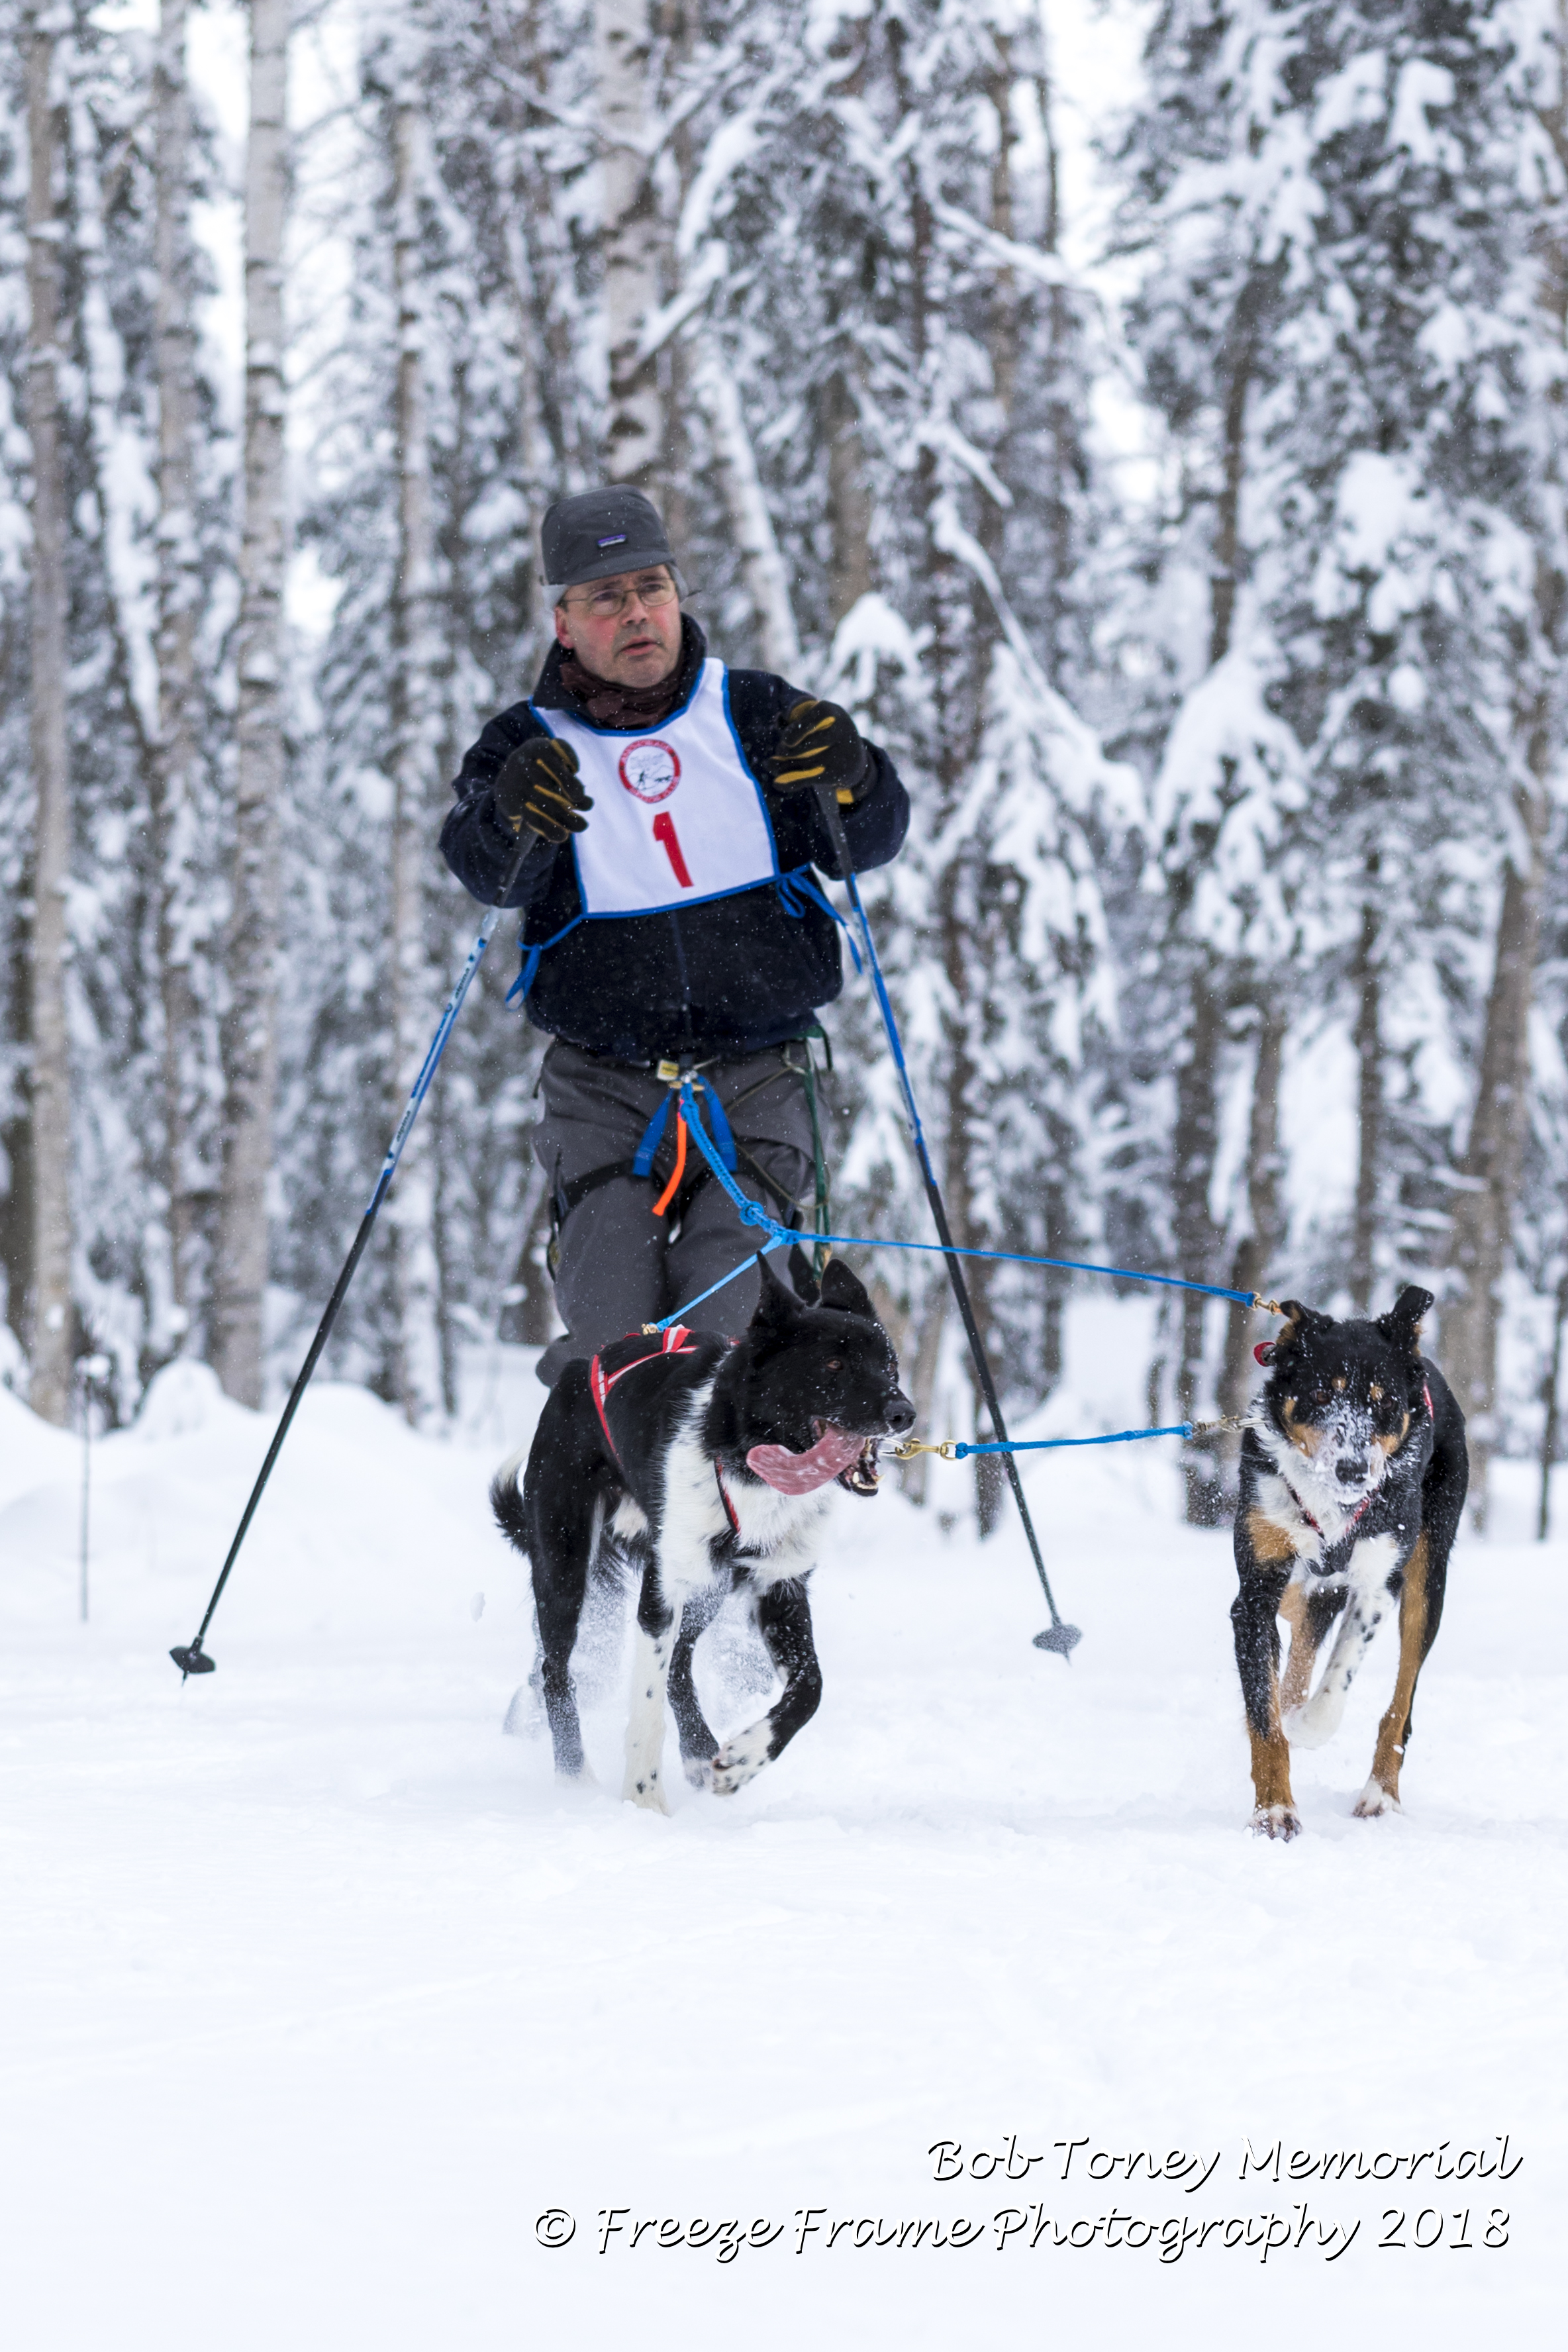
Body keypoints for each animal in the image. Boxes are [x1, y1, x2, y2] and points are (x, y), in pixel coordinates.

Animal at [484, 1260, 912, 1806]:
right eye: (834, 1366)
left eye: (889, 1366)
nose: (904, 1413)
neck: (750, 1463)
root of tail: (575, 1373)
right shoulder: (662, 1594)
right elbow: (646, 1707)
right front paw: (643, 1799)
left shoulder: (781, 1587)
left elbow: (810, 1688)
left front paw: (745, 1759)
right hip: (566, 1565)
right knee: (556, 1671)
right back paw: (574, 1777)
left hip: (707, 1589)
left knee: (680, 1666)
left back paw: (698, 1751)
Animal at [1241, 1289, 1476, 1834]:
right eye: (1320, 1395)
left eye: (1383, 1401)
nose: (1352, 1469)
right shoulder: (1257, 1591)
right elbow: (1265, 1713)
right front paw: (1275, 1809)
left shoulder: (1378, 1582)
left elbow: (1336, 1679)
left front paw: (1305, 1727)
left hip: (1427, 1581)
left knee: (1400, 1704)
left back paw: (1380, 1794)